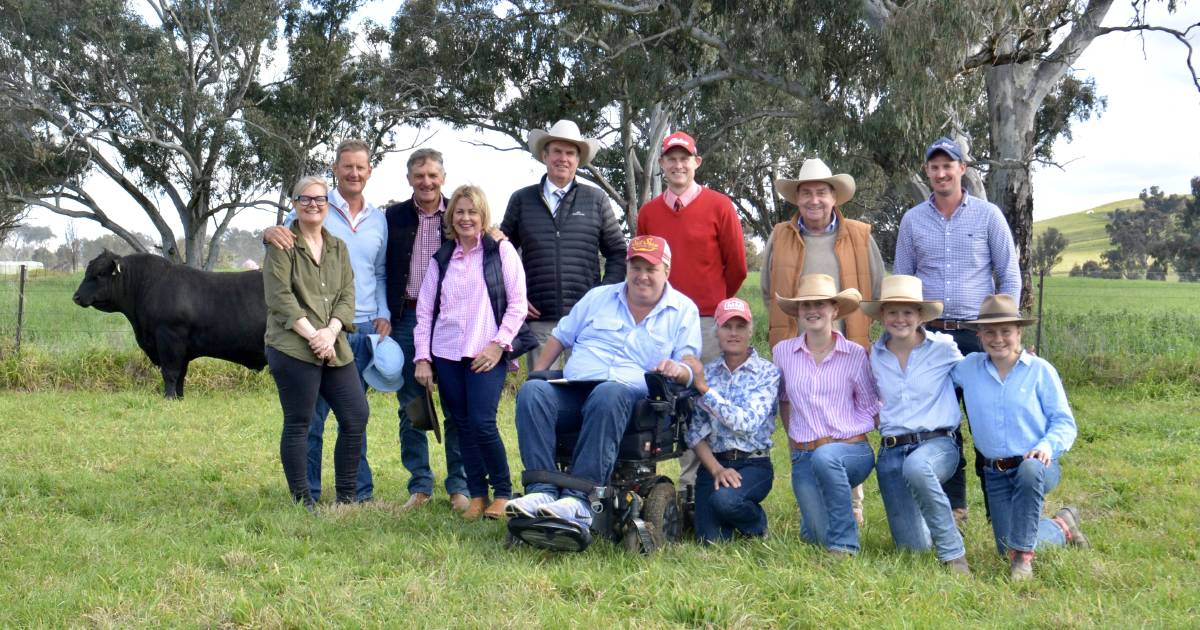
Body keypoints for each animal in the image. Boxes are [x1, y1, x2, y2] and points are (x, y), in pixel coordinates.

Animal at [72, 250, 267, 398]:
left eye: (99, 274)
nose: (76, 296)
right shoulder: (183, 349)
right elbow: (181, 374)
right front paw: (178, 398)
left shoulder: (170, 338)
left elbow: (170, 372)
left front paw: (168, 398)